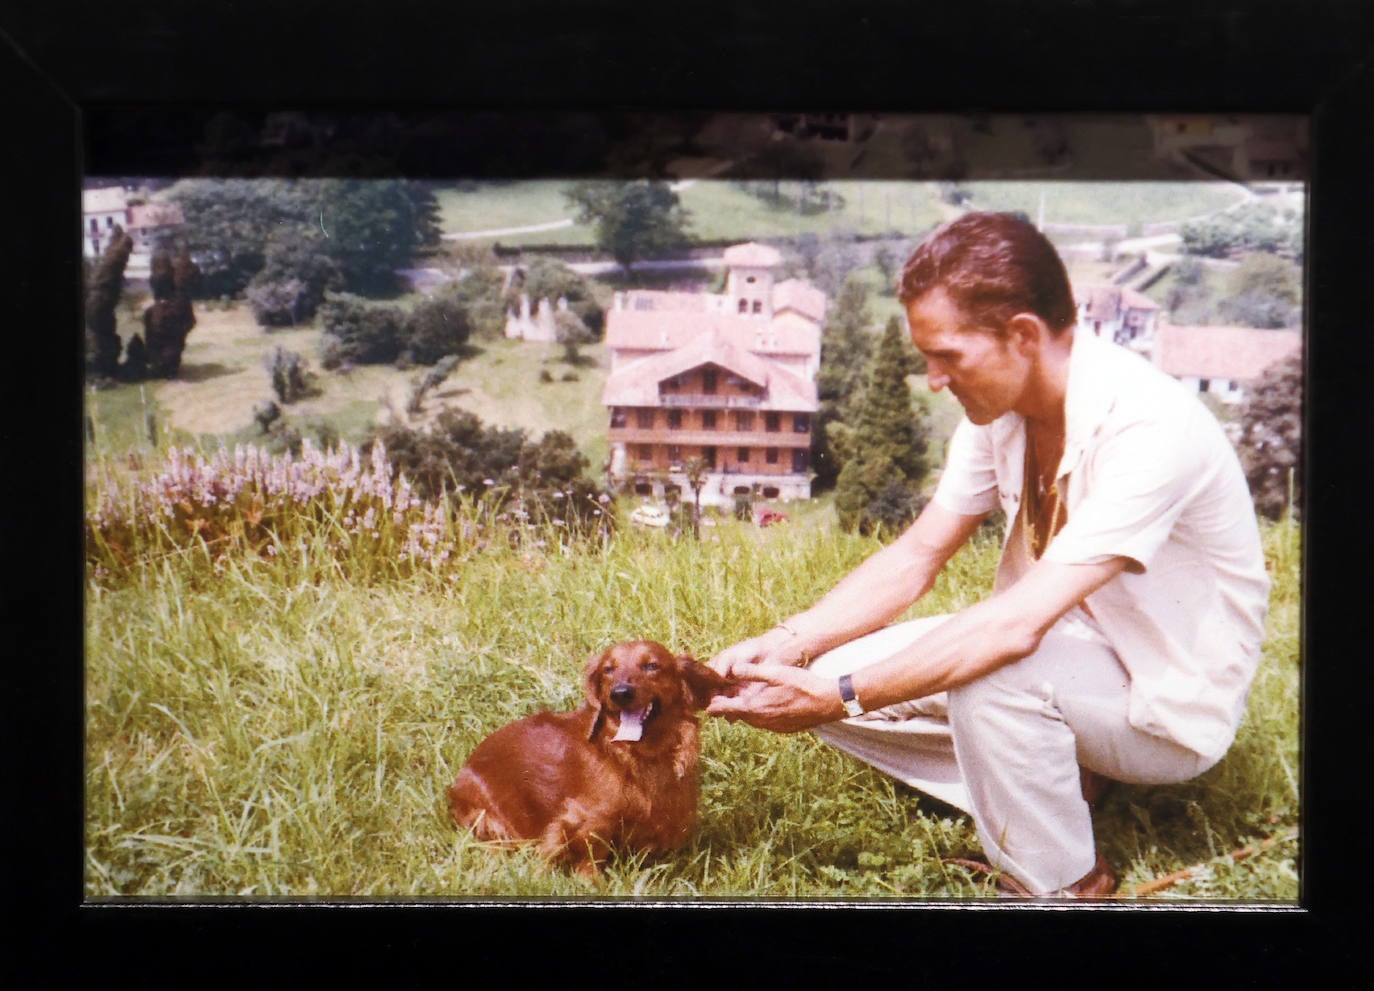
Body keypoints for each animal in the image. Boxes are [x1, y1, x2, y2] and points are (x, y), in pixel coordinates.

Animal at [447, 637, 730, 868]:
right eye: (608, 669)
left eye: (651, 666)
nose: (620, 693)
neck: (639, 755)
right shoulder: (582, 820)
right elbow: (587, 860)